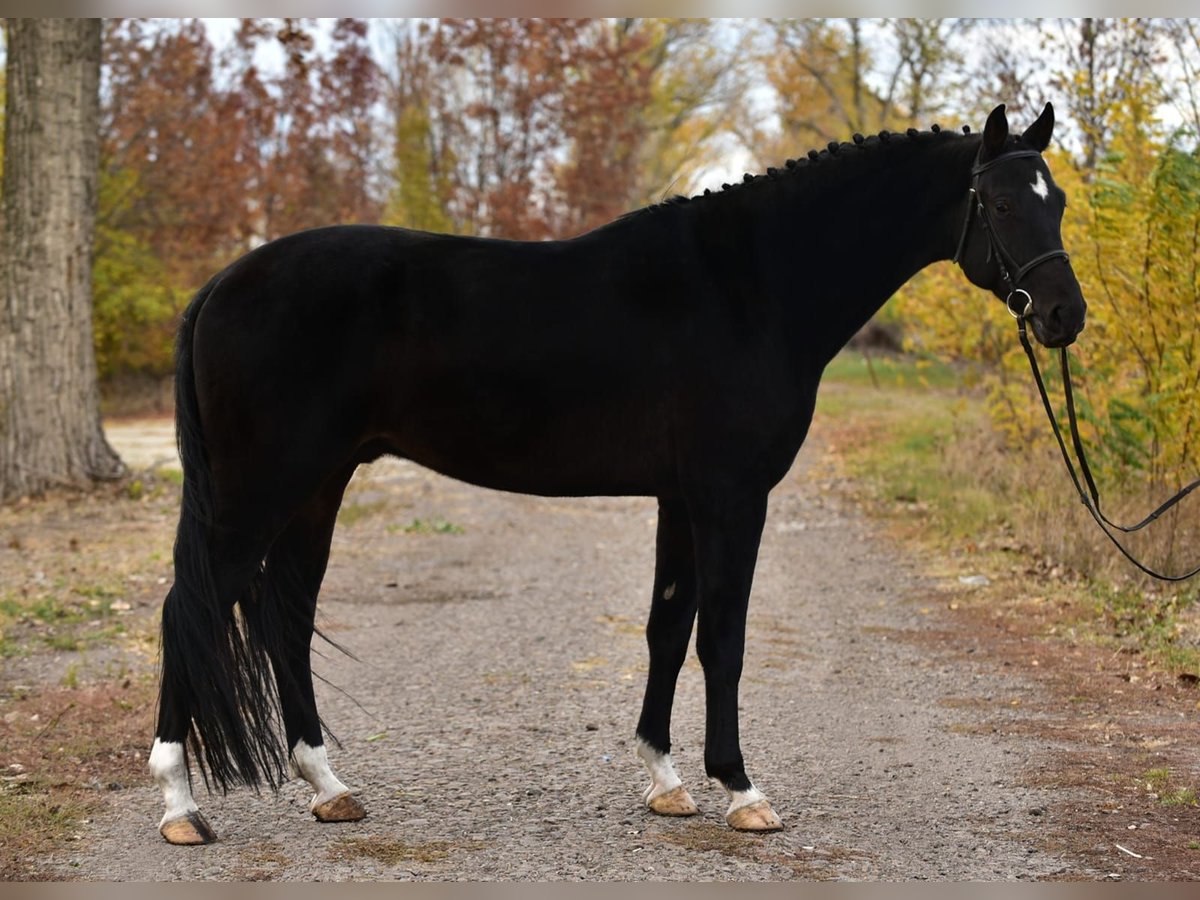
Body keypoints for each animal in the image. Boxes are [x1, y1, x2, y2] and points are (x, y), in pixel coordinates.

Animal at [149, 103, 1087, 844]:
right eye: (1005, 202)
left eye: (1063, 202)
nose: (1064, 316)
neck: (751, 285)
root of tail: (221, 283)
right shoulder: (730, 498)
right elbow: (723, 639)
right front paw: (742, 789)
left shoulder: (681, 497)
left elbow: (668, 629)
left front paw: (666, 783)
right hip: (260, 492)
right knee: (190, 610)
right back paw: (181, 807)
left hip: (316, 487)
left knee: (285, 619)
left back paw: (329, 787)